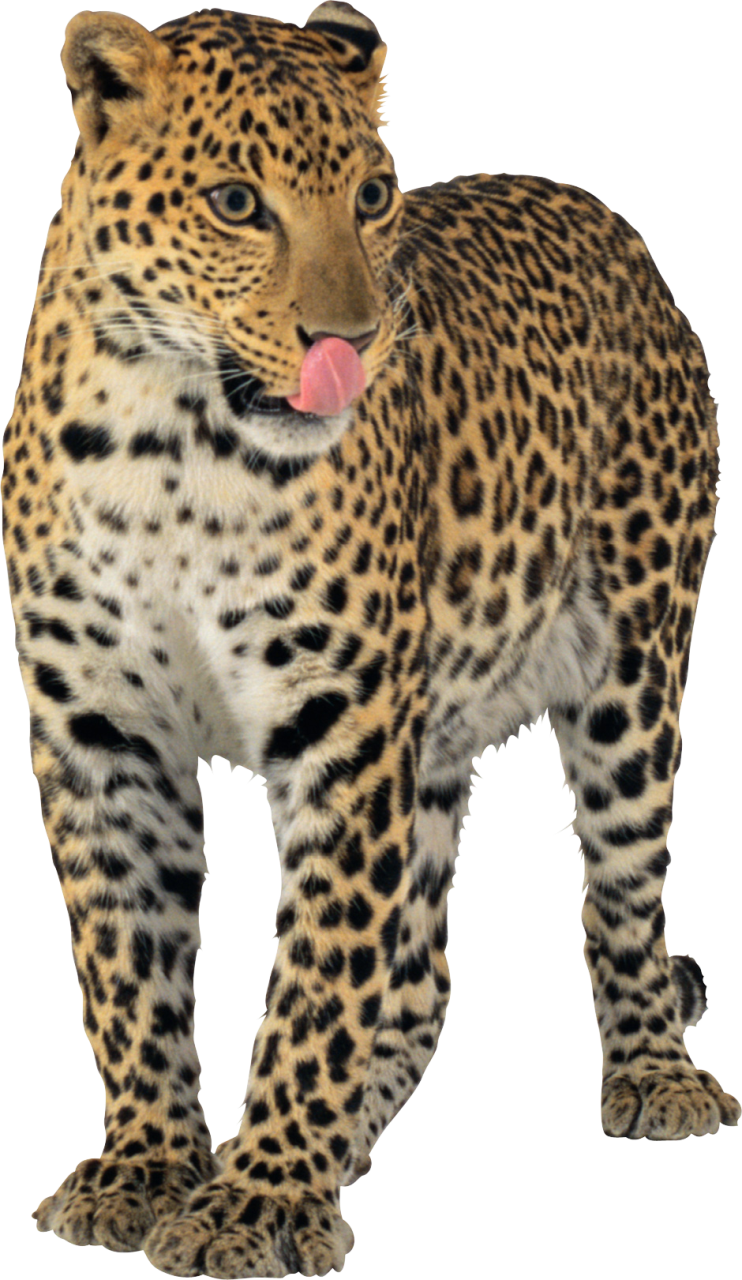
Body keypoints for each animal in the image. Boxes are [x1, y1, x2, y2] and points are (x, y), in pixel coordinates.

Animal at [3, 2, 739, 1276]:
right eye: (236, 202)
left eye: (374, 193)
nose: (349, 336)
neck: (171, 440)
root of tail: (609, 218)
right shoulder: (99, 724)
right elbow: (125, 959)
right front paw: (149, 1166)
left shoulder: (340, 720)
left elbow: (318, 970)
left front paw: (259, 1199)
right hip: (433, 725)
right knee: (423, 968)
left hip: (632, 663)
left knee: (619, 886)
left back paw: (656, 1072)